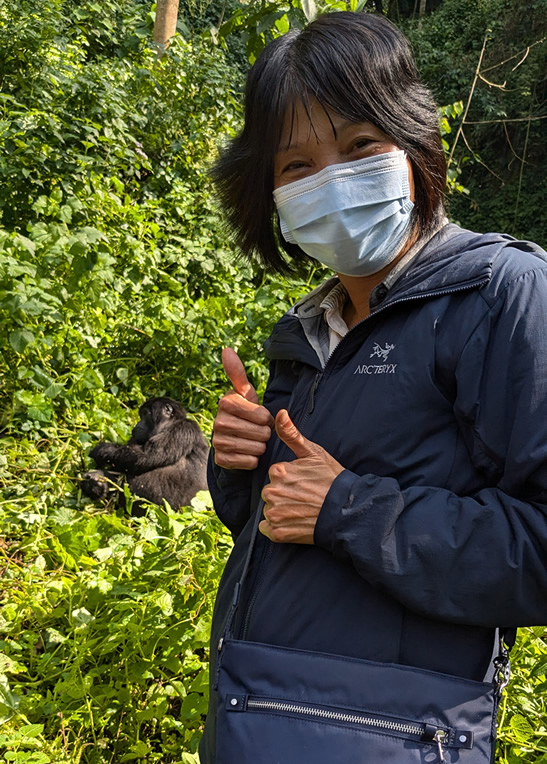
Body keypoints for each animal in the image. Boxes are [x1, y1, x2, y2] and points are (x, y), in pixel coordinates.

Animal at [81, 400, 210, 512]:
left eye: (145, 414)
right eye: (141, 415)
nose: (137, 424)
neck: (171, 423)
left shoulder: (184, 428)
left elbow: (145, 457)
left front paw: (101, 450)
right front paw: (95, 482)